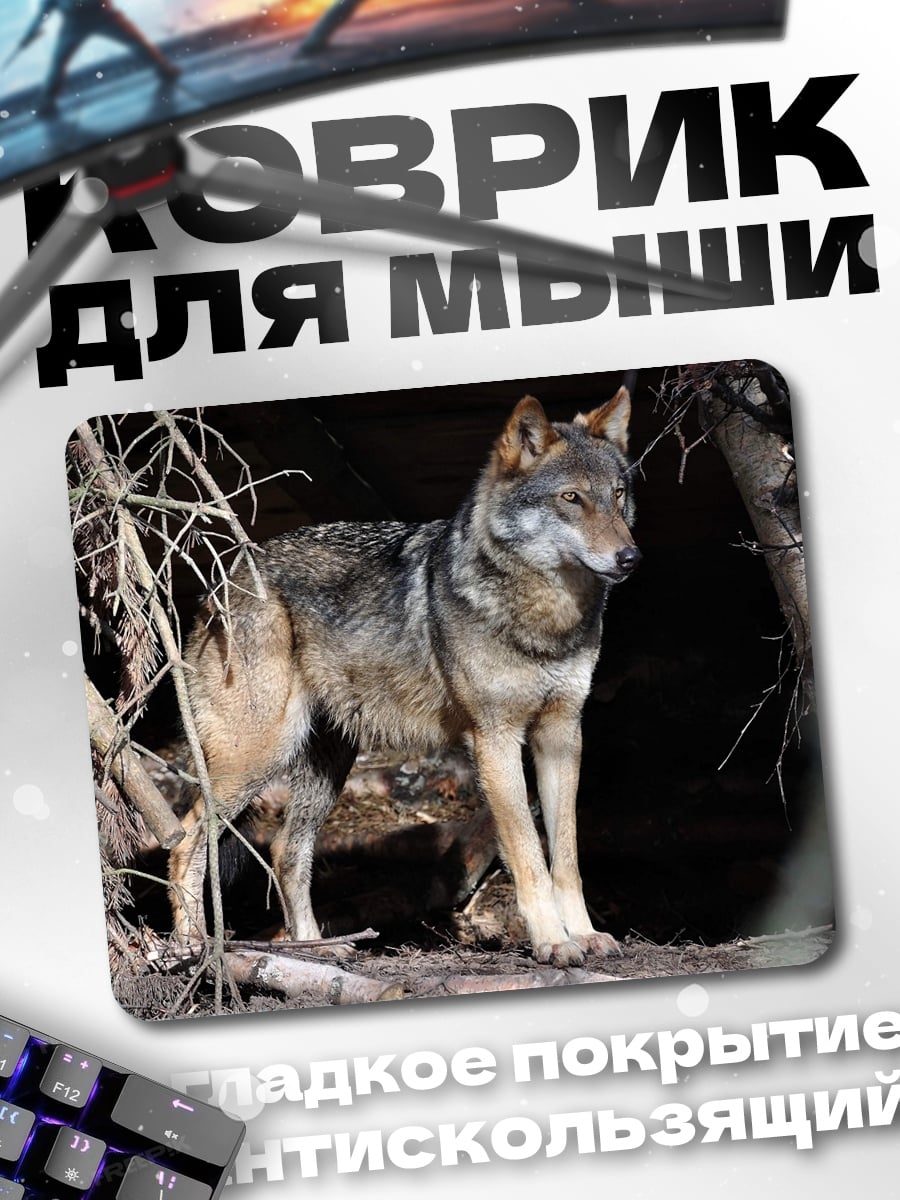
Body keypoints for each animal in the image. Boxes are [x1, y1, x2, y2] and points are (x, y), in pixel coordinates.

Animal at [168, 387, 640, 967]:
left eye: (618, 495)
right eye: (571, 498)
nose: (630, 557)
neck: (546, 622)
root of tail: (220, 581)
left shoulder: (562, 733)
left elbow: (567, 855)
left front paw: (586, 935)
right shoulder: (496, 738)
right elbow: (529, 853)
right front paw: (553, 941)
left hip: (326, 765)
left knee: (285, 849)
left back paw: (316, 949)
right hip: (258, 755)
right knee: (187, 841)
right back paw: (190, 948)